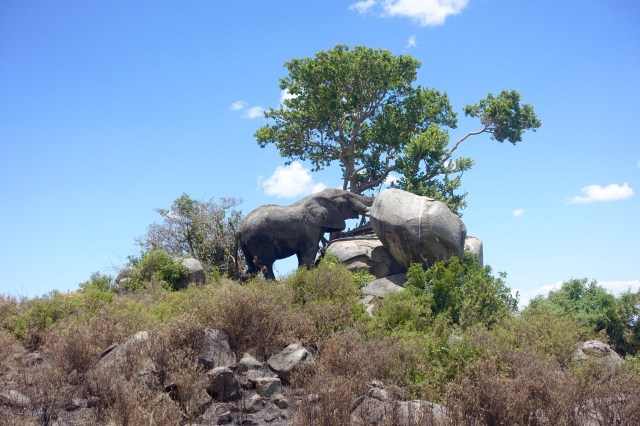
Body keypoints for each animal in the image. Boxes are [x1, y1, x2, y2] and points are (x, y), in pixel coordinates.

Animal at [237, 189, 373, 280]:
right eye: (347, 197)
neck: (319, 196)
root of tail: (239, 229)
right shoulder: (310, 227)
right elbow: (310, 251)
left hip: (247, 244)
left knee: (252, 267)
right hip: (259, 239)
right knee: (265, 264)